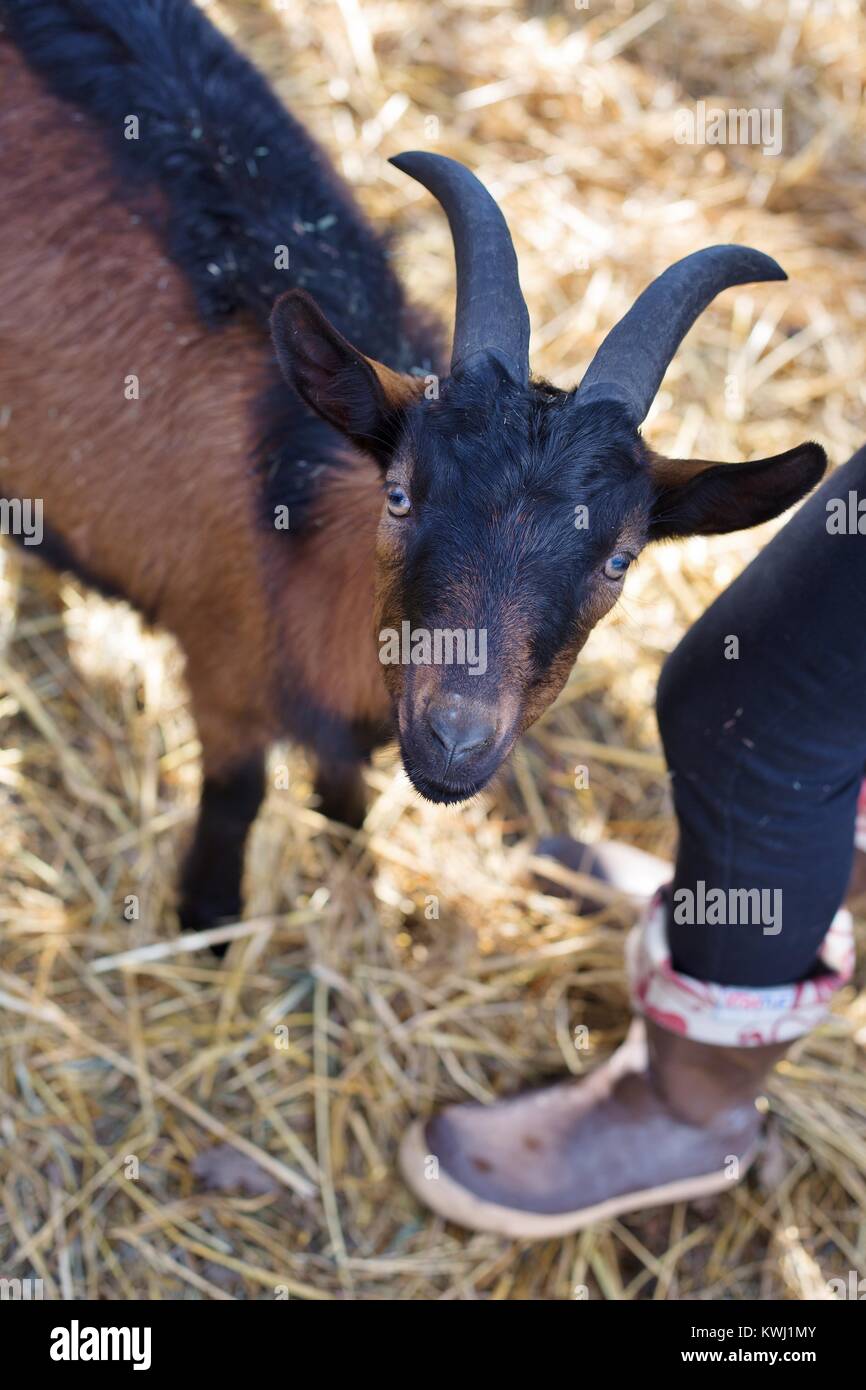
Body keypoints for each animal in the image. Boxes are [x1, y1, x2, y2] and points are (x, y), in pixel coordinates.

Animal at [0, 0, 826, 939]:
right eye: (398, 496)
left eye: (620, 559)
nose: (457, 739)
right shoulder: (224, 669)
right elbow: (237, 801)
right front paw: (209, 924)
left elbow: (342, 789)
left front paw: (352, 851)